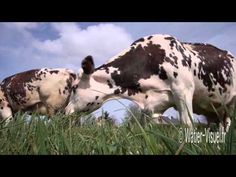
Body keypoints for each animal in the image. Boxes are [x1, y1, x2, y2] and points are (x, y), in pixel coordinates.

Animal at [65, 34, 236, 130]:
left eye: (74, 88)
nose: (65, 111)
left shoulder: (183, 90)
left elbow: (187, 123)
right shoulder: (154, 104)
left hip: (231, 104)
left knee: (228, 124)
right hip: (215, 110)